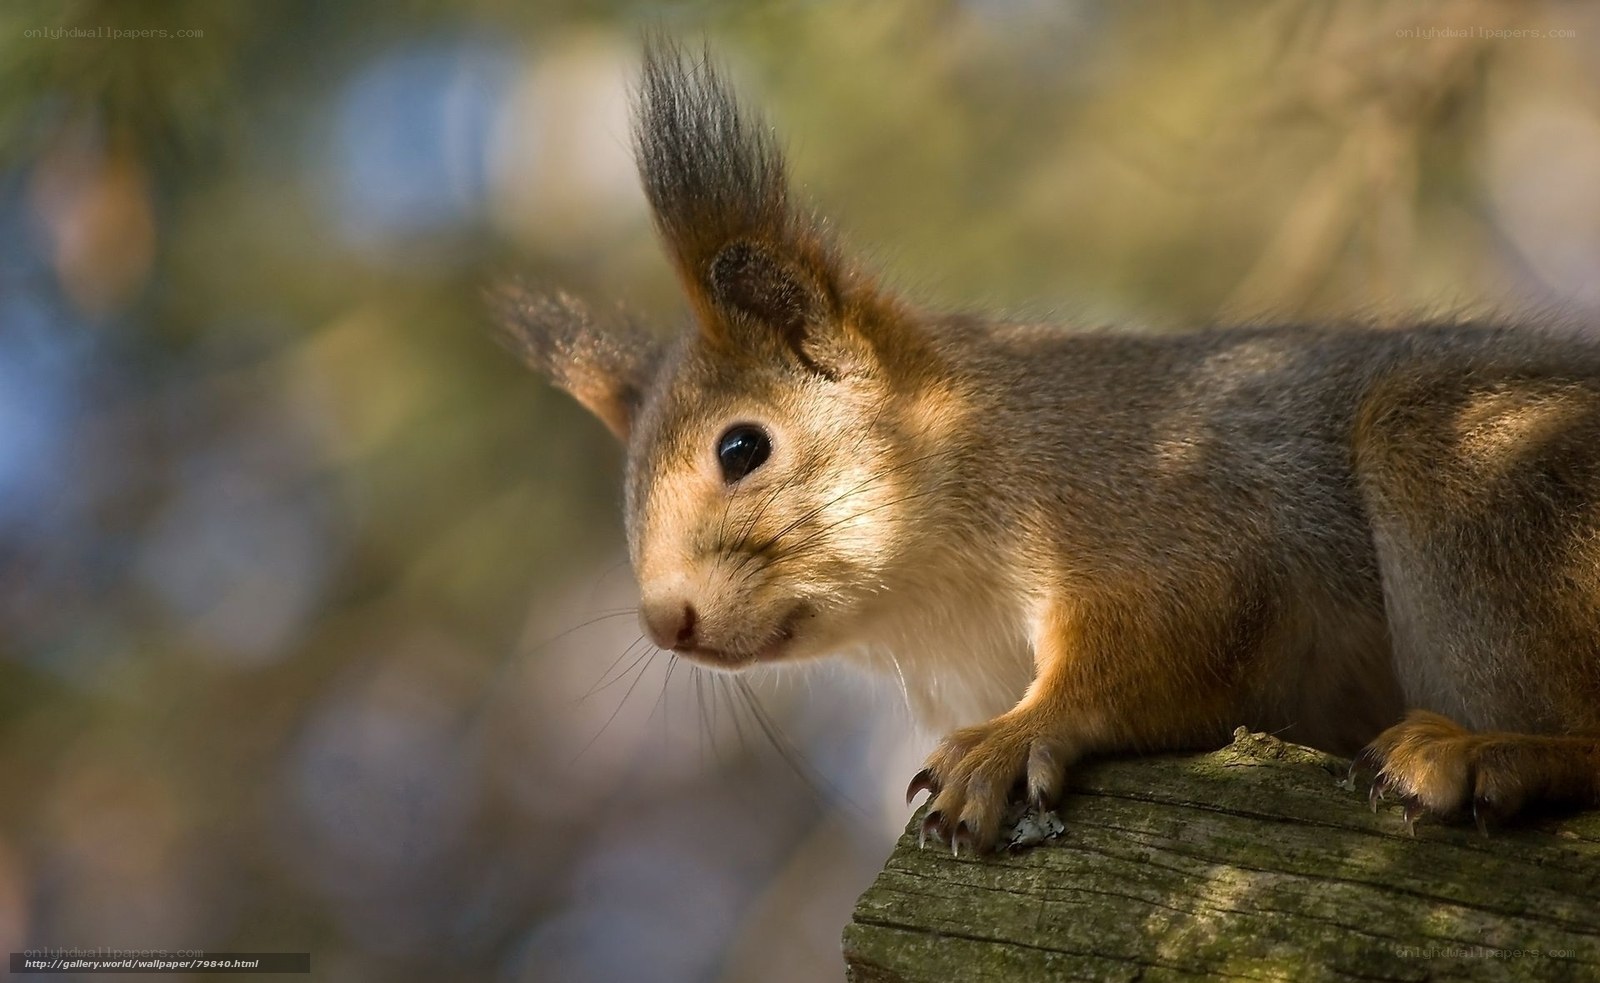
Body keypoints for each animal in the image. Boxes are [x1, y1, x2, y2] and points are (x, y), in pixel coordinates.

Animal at [493, 41, 1600, 855]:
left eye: (740, 447)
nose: (664, 621)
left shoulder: (1150, 499)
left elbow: (1176, 629)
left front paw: (1011, 737)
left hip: (1473, 466)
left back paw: (1485, 753)